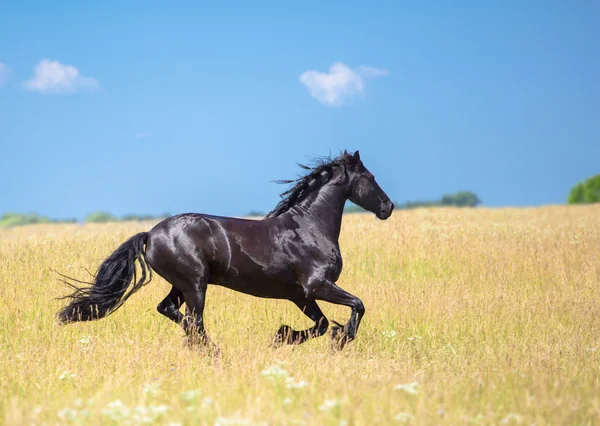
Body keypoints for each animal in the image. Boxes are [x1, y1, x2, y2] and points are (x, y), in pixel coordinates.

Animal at [56, 151, 394, 352]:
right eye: (370, 178)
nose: (387, 207)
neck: (309, 227)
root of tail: (150, 234)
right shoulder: (317, 286)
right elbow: (358, 305)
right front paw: (341, 338)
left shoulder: (300, 295)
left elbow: (321, 325)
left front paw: (283, 336)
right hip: (195, 286)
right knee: (194, 322)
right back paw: (213, 352)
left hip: (182, 285)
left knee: (171, 312)